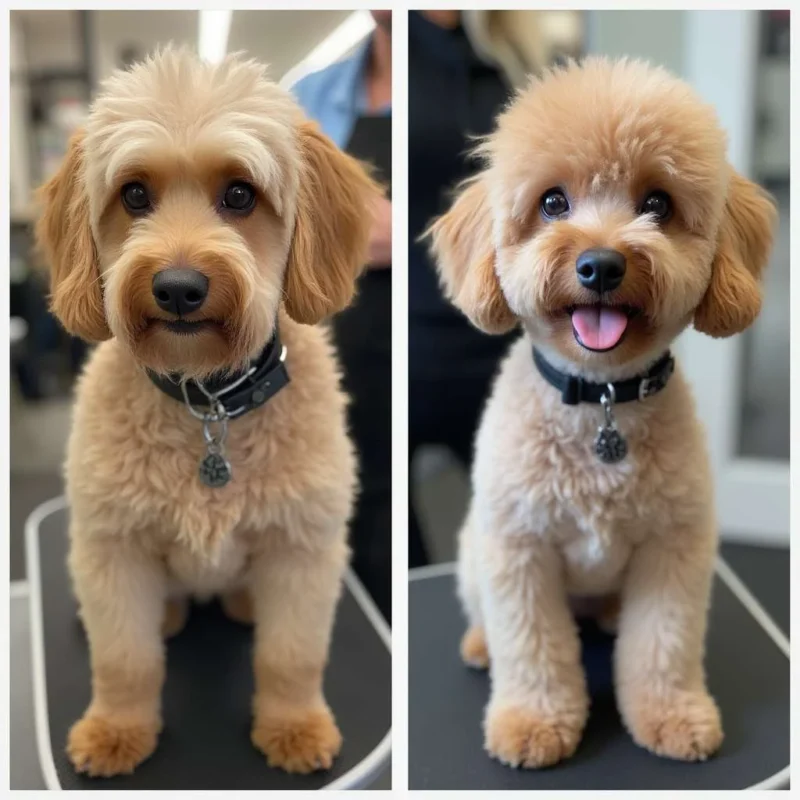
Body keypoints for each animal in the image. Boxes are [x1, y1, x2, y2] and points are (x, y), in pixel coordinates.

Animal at [34, 47, 378, 780]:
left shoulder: (302, 549)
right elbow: (124, 660)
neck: (208, 402)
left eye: (240, 195)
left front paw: (294, 725)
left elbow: (290, 655)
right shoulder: (116, 549)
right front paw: (116, 729)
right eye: (135, 195)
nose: (178, 287)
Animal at [432, 56, 776, 768]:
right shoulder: (520, 549)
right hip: (476, 554)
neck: (602, 403)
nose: (600, 264)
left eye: (657, 205)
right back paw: (481, 645)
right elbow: (531, 644)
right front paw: (533, 721)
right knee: (484, 612)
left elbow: (663, 643)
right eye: (552, 203)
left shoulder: (673, 548)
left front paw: (670, 715)